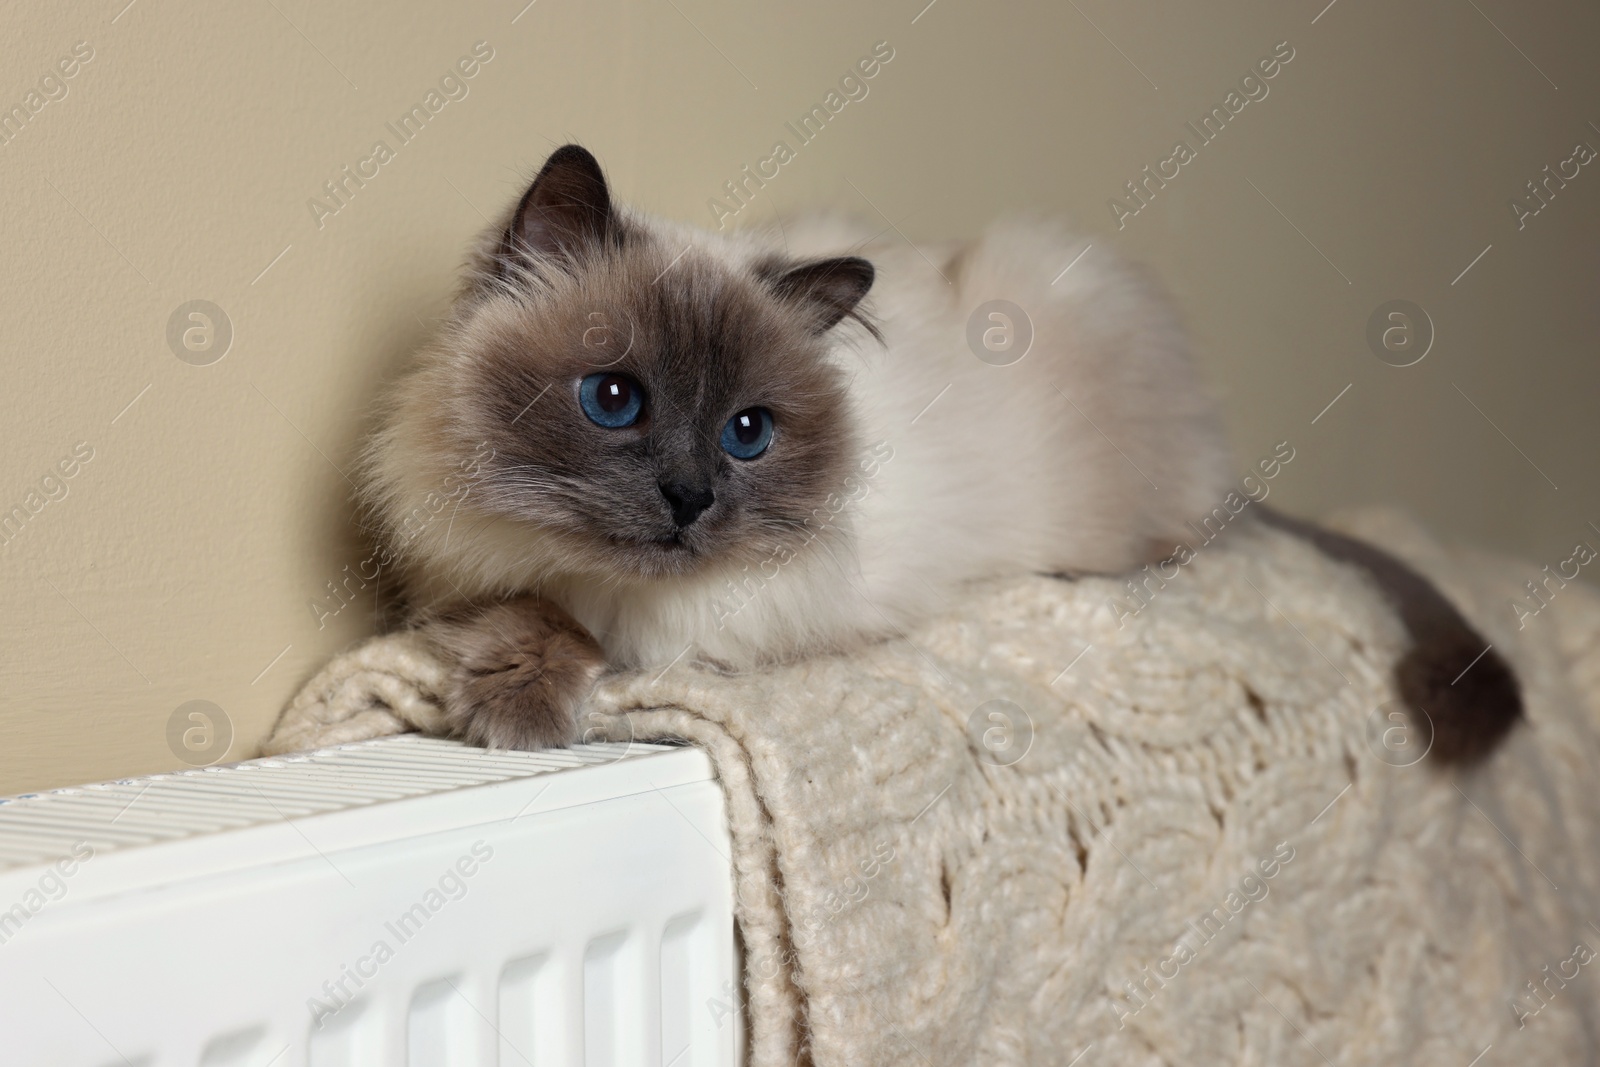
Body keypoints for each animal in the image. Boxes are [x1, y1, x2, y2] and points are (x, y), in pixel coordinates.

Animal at [366, 143, 1523, 767]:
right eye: (614, 400)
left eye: (748, 432)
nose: (690, 499)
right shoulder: (462, 563)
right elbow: (513, 607)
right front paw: (503, 675)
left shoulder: (730, 620)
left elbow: (588, 628)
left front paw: (516, 705)